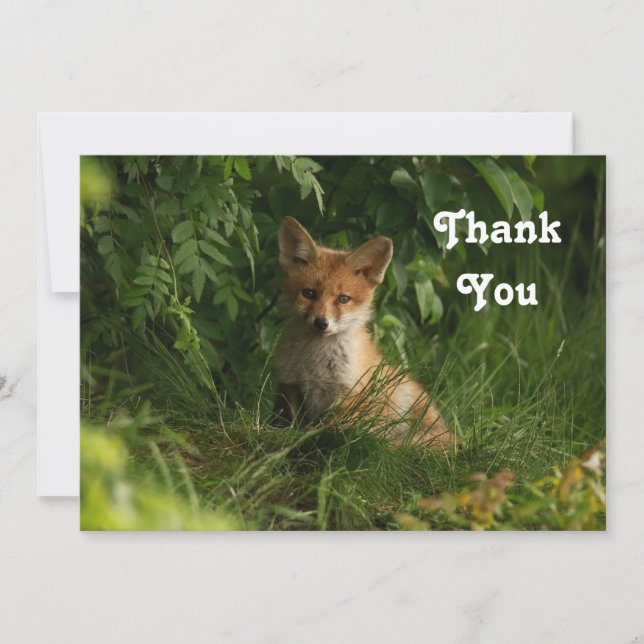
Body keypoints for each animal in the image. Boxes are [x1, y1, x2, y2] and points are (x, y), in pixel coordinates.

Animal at [273, 216, 458, 449]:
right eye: (309, 293)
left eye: (343, 299)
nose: (321, 323)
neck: (315, 362)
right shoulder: (290, 385)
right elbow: (292, 422)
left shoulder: (351, 395)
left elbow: (331, 429)